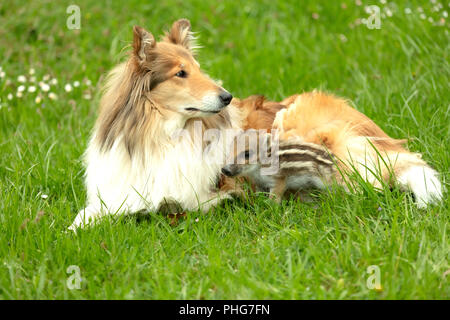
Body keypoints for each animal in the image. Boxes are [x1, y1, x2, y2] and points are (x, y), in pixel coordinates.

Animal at [68, 19, 241, 230]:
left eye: (199, 69)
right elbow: (90, 213)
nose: (228, 97)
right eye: (180, 73)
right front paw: (72, 229)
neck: (163, 136)